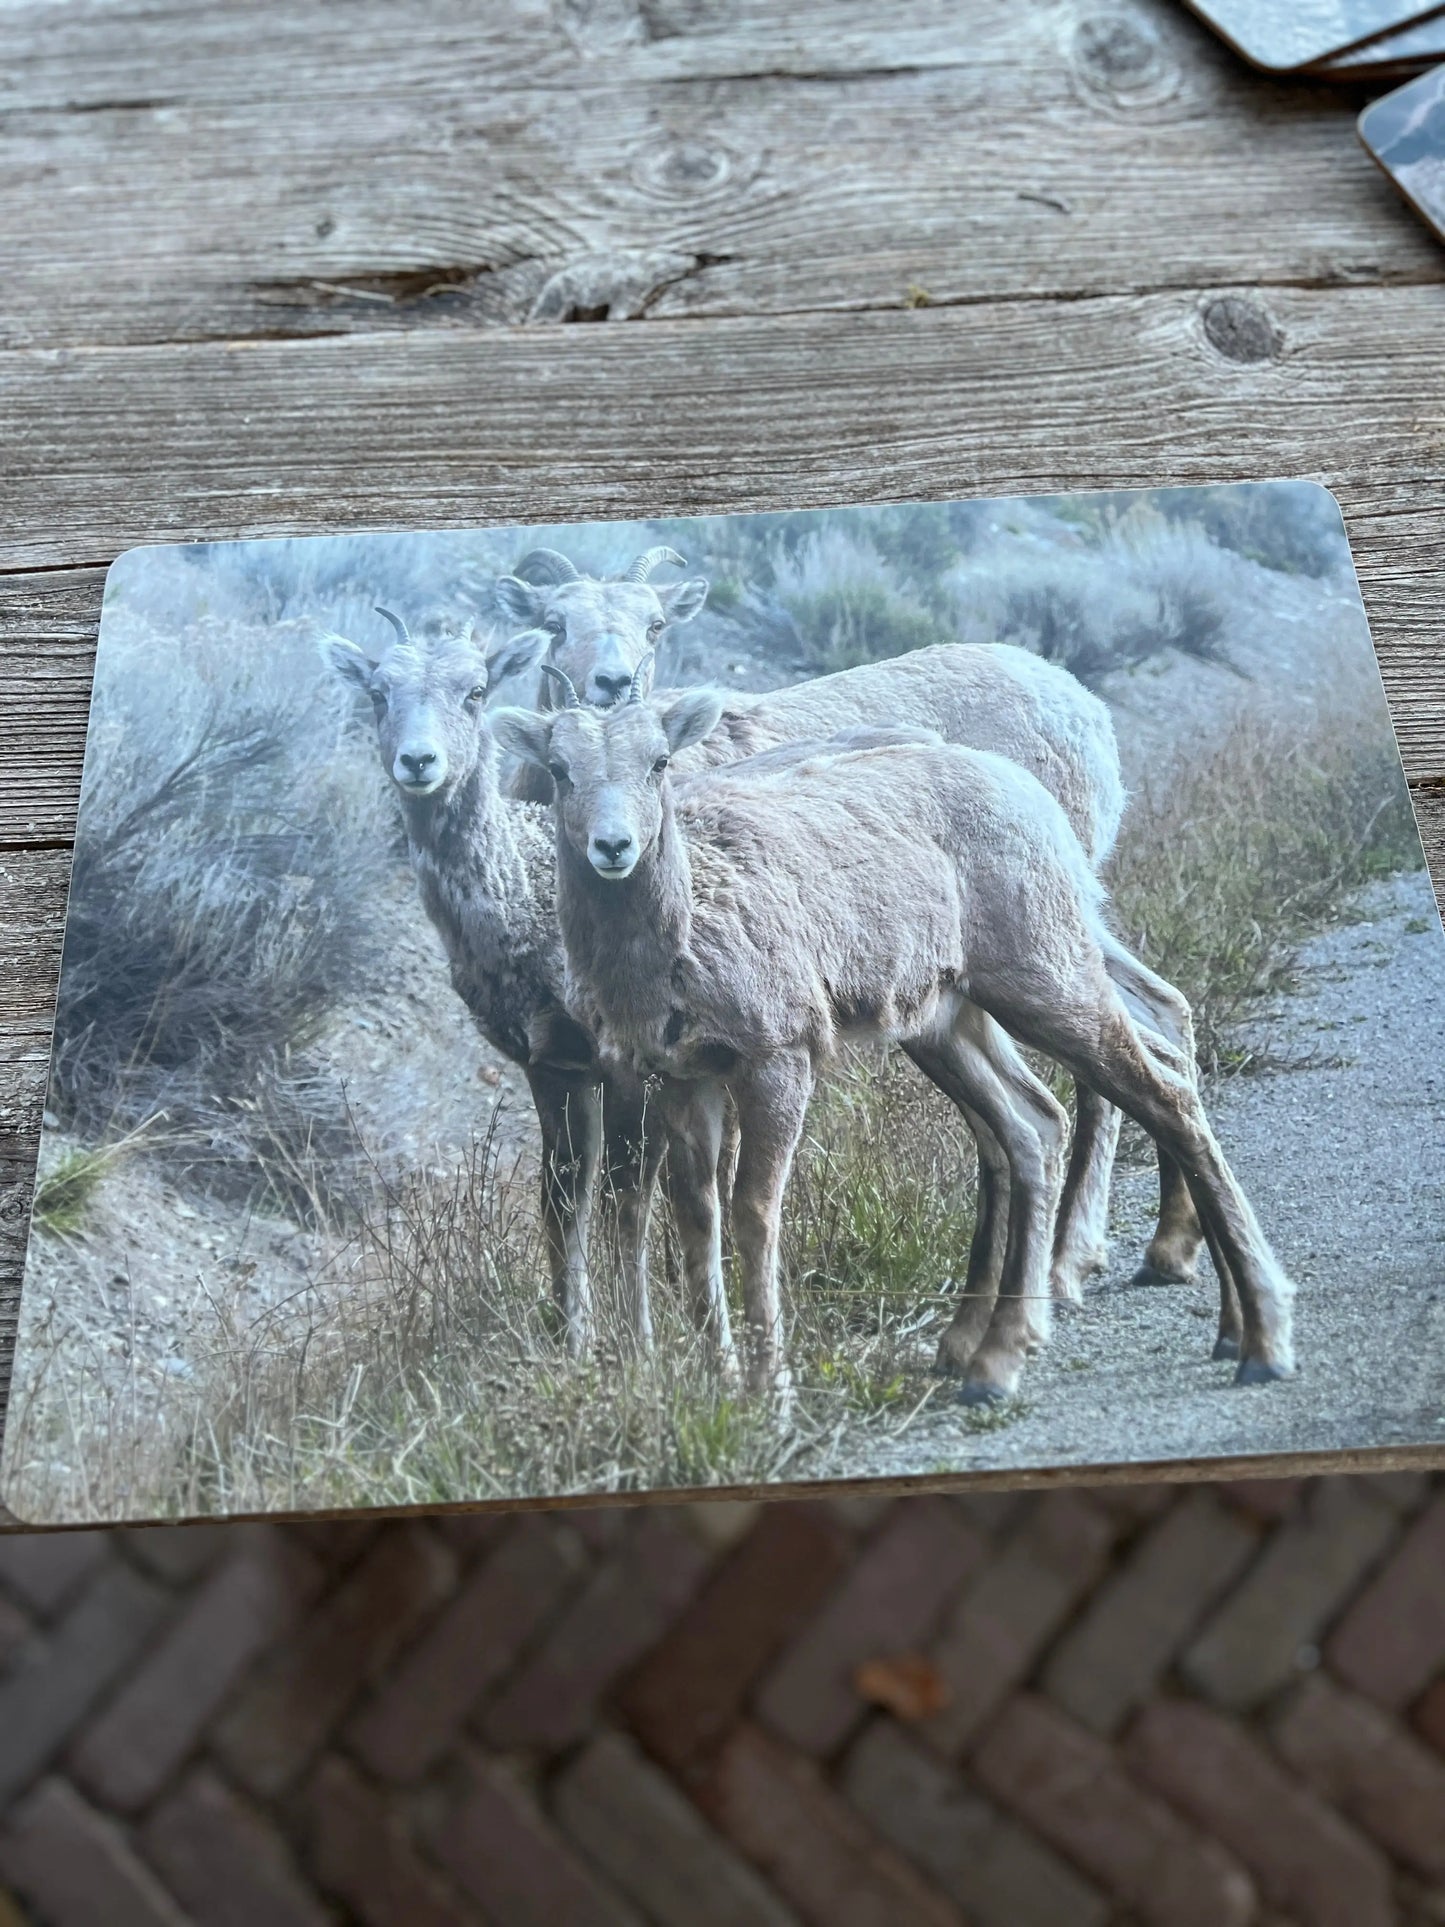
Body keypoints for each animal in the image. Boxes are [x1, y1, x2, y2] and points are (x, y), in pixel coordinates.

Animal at [491, 681, 1295, 1407]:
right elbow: (697, 1217)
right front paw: (720, 1379)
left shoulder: (777, 1060)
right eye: (559, 769)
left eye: (658, 761)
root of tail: (1031, 795)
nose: (613, 846)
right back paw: (995, 1361)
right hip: (948, 1023)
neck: (679, 942)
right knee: (1035, 1123)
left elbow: (754, 1213)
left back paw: (1258, 1337)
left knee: (1166, 1098)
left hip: (1046, 979)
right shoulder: (687, 1078)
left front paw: (768, 1388)